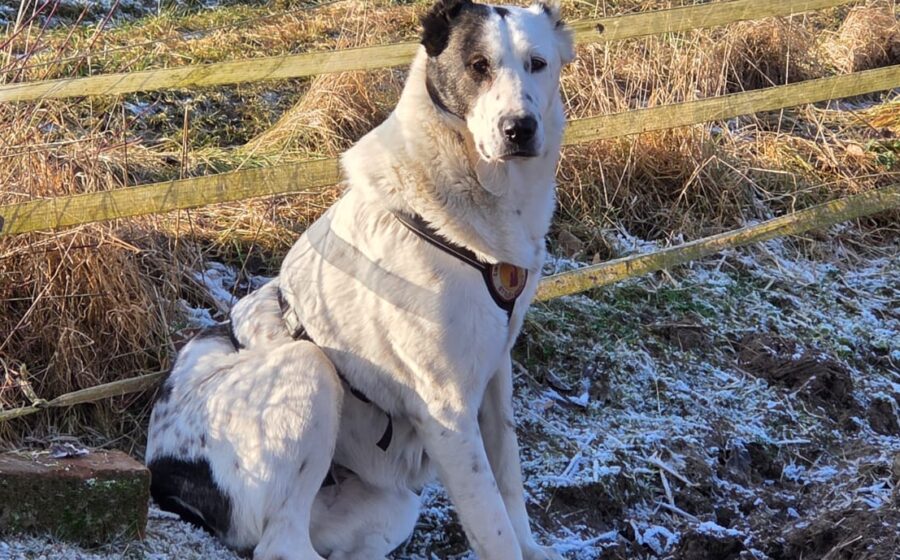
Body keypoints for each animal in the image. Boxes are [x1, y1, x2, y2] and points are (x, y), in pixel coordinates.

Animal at [145, 1, 574, 558]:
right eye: (478, 65)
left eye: (537, 64)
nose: (519, 128)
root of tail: (161, 472)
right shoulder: (448, 413)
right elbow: (493, 525)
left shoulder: (495, 374)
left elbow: (510, 477)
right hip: (308, 370)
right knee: (280, 544)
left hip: (390, 505)